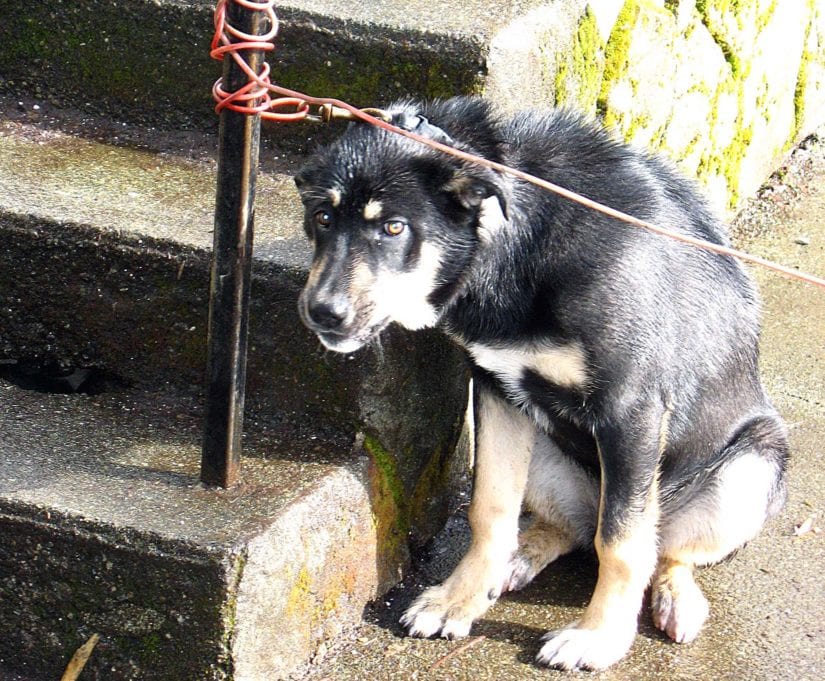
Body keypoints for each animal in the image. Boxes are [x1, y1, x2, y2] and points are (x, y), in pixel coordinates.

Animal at [292, 95, 788, 668]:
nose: (321, 313)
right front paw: (459, 597)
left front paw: (599, 636)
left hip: (751, 468)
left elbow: (621, 543)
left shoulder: (631, 410)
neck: (515, 243)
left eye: (394, 228)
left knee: (662, 548)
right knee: (572, 530)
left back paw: (674, 598)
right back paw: (520, 557)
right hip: (549, 458)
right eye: (322, 217)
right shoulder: (496, 387)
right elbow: (489, 507)